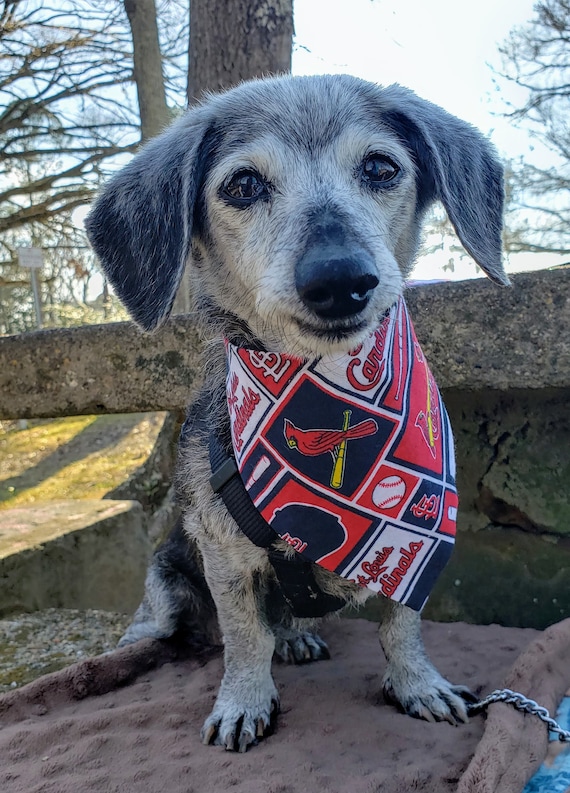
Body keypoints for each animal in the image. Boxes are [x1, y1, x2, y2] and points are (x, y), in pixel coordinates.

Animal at [85, 74, 506, 756]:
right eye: (243, 184)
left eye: (381, 167)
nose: (339, 278)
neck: (323, 382)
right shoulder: (225, 558)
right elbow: (244, 638)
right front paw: (244, 701)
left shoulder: (417, 548)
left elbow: (400, 625)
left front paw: (417, 685)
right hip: (169, 579)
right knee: (162, 626)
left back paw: (297, 637)